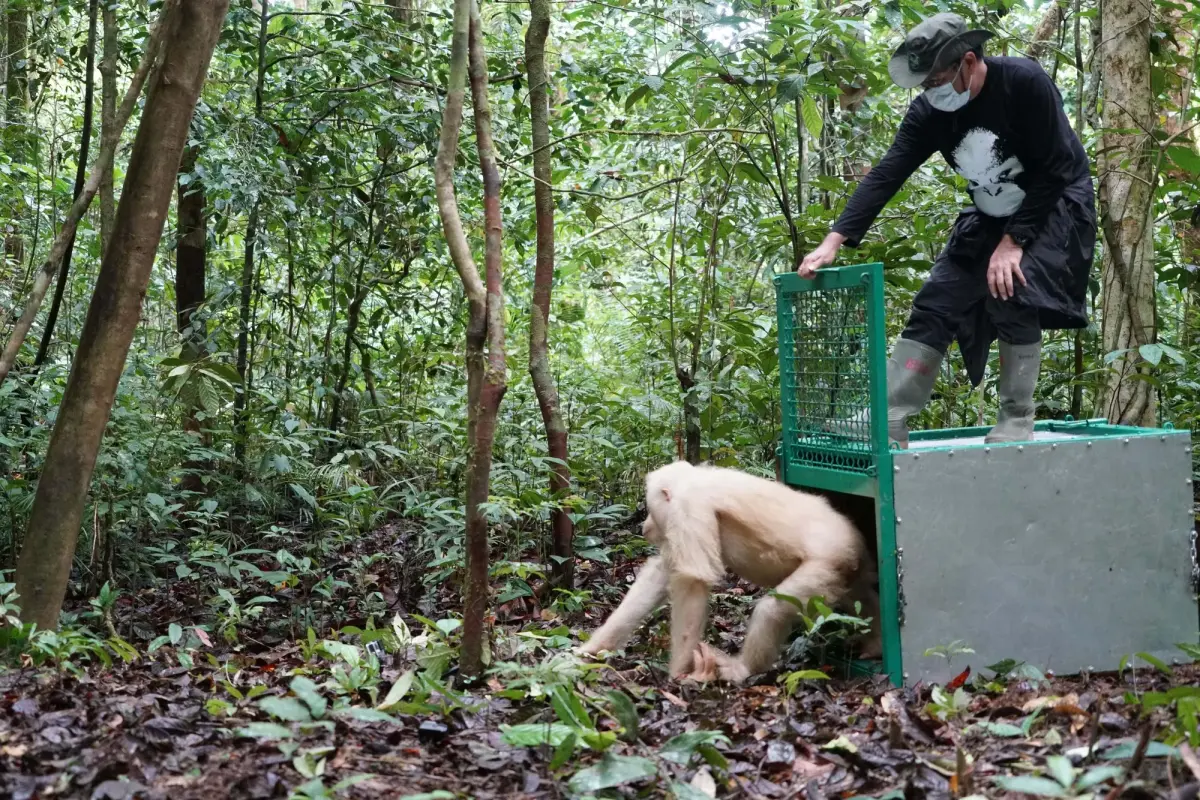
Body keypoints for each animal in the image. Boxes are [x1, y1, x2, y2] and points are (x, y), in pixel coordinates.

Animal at [578, 460, 881, 683]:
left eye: (652, 510)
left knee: (774, 609)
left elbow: (693, 580)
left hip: (829, 558)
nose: (646, 527)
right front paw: (593, 649)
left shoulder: (687, 507)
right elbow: (660, 576)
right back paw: (875, 641)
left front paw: (680, 674)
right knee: (860, 595)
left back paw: (742, 669)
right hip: (849, 563)